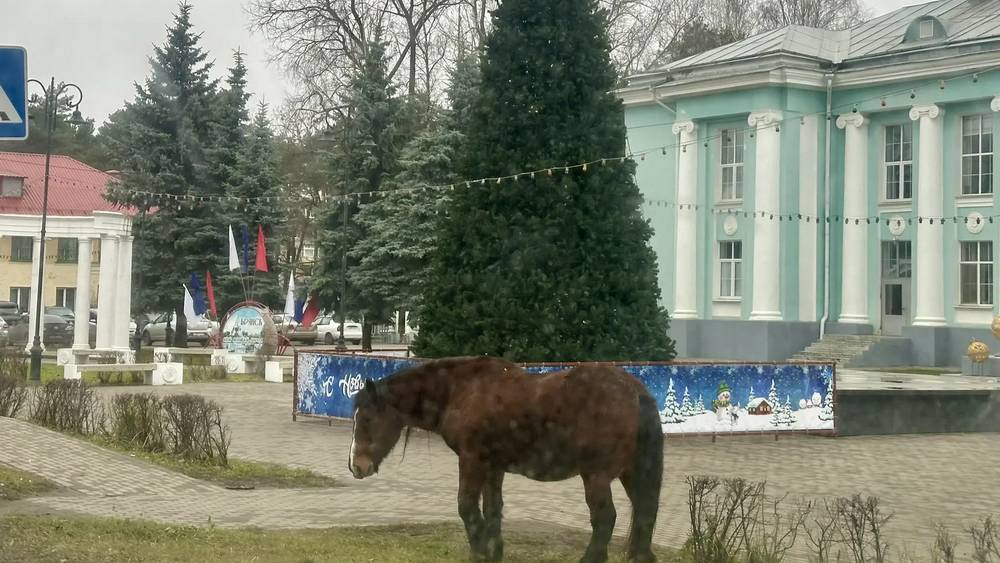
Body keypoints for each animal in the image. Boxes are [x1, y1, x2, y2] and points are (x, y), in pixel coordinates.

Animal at [348, 356, 663, 563]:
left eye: (366, 419)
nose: (356, 466)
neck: (462, 390)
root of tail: (635, 391)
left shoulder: (471, 460)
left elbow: (466, 506)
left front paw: (479, 552)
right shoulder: (493, 467)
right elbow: (492, 509)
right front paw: (493, 551)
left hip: (595, 477)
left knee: (605, 518)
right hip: (631, 473)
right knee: (644, 513)